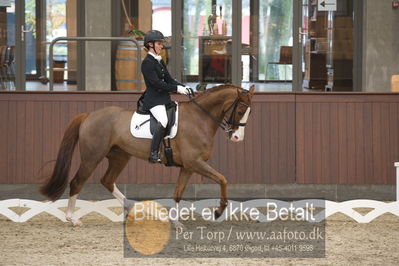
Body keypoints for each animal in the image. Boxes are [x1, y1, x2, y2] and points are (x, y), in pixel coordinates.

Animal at [40, 84, 256, 225]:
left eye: (249, 113)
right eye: (240, 110)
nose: (237, 137)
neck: (199, 118)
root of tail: (89, 115)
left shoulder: (188, 166)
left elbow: (178, 193)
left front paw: (175, 223)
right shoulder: (195, 163)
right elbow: (222, 179)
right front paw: (219, 211)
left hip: (120, 157)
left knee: (107, 180)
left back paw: (133, 209)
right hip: (92, 157)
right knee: (77, 182)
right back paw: (72, 219)